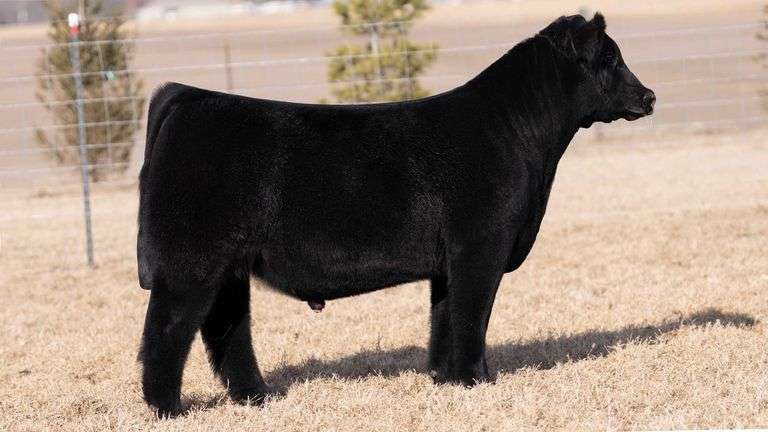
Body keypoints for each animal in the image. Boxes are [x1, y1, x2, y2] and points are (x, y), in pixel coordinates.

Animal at [137, 13, 655, 417]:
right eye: (610, 59)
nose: (649, 96)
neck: (519, 134)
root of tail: (189, 96)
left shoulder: (448, 260)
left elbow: (445, 319)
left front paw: (446, 379)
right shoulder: (480, 245)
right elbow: (473, 315)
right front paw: (478, 380)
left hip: (229, 267)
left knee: (227, 332)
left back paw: (258, 397)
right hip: (190, 262)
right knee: (167, 332)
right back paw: (168, 409)